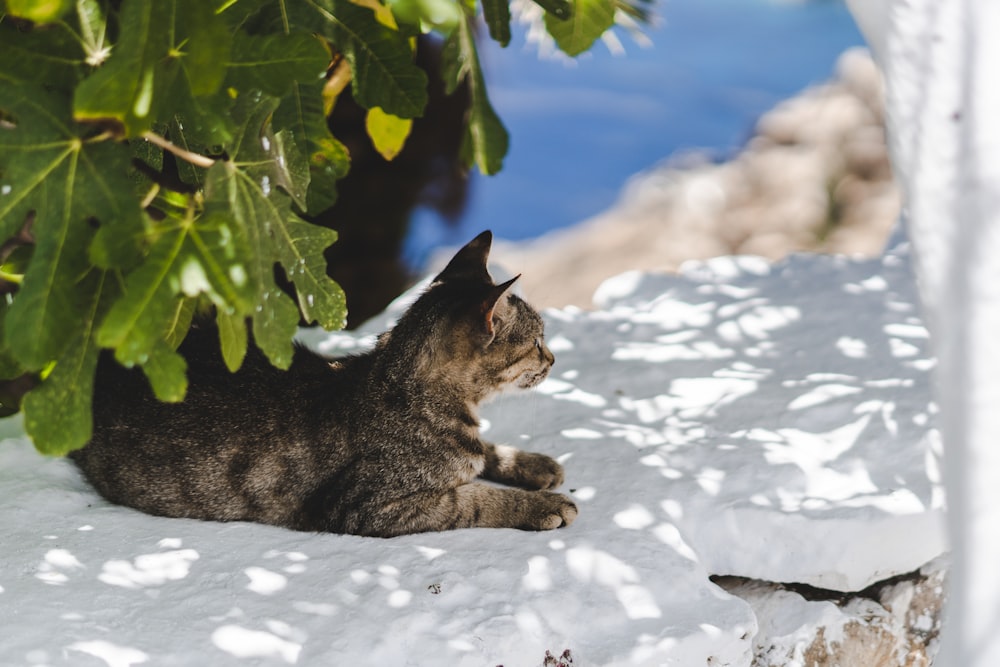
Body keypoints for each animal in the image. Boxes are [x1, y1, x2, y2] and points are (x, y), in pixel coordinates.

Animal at [70, 231, 580, 536]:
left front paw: (532, 464)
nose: (554, 358)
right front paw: (540, 506)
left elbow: (485, 452)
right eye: (537, 341)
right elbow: (472, 498)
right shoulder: (367, 506)